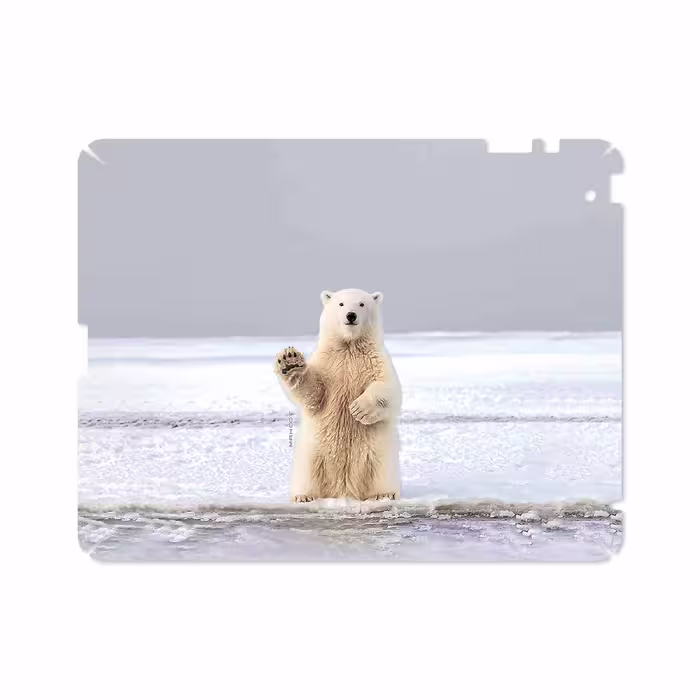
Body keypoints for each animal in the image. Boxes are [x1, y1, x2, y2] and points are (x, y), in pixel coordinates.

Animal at [274, 288, 402, 502]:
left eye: (361, 304)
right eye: (341, 304)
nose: (351, 315)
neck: (349, 346)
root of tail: (344, 490)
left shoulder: (376, 361)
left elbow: (389, 388)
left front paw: (359, 409)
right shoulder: (328, 364)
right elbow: (314, 392)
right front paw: (290, 362)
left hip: (379, 454)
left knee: (381, 471)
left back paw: (384, 494)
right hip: (312, 453)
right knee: (307, 472)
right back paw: (304, 496)